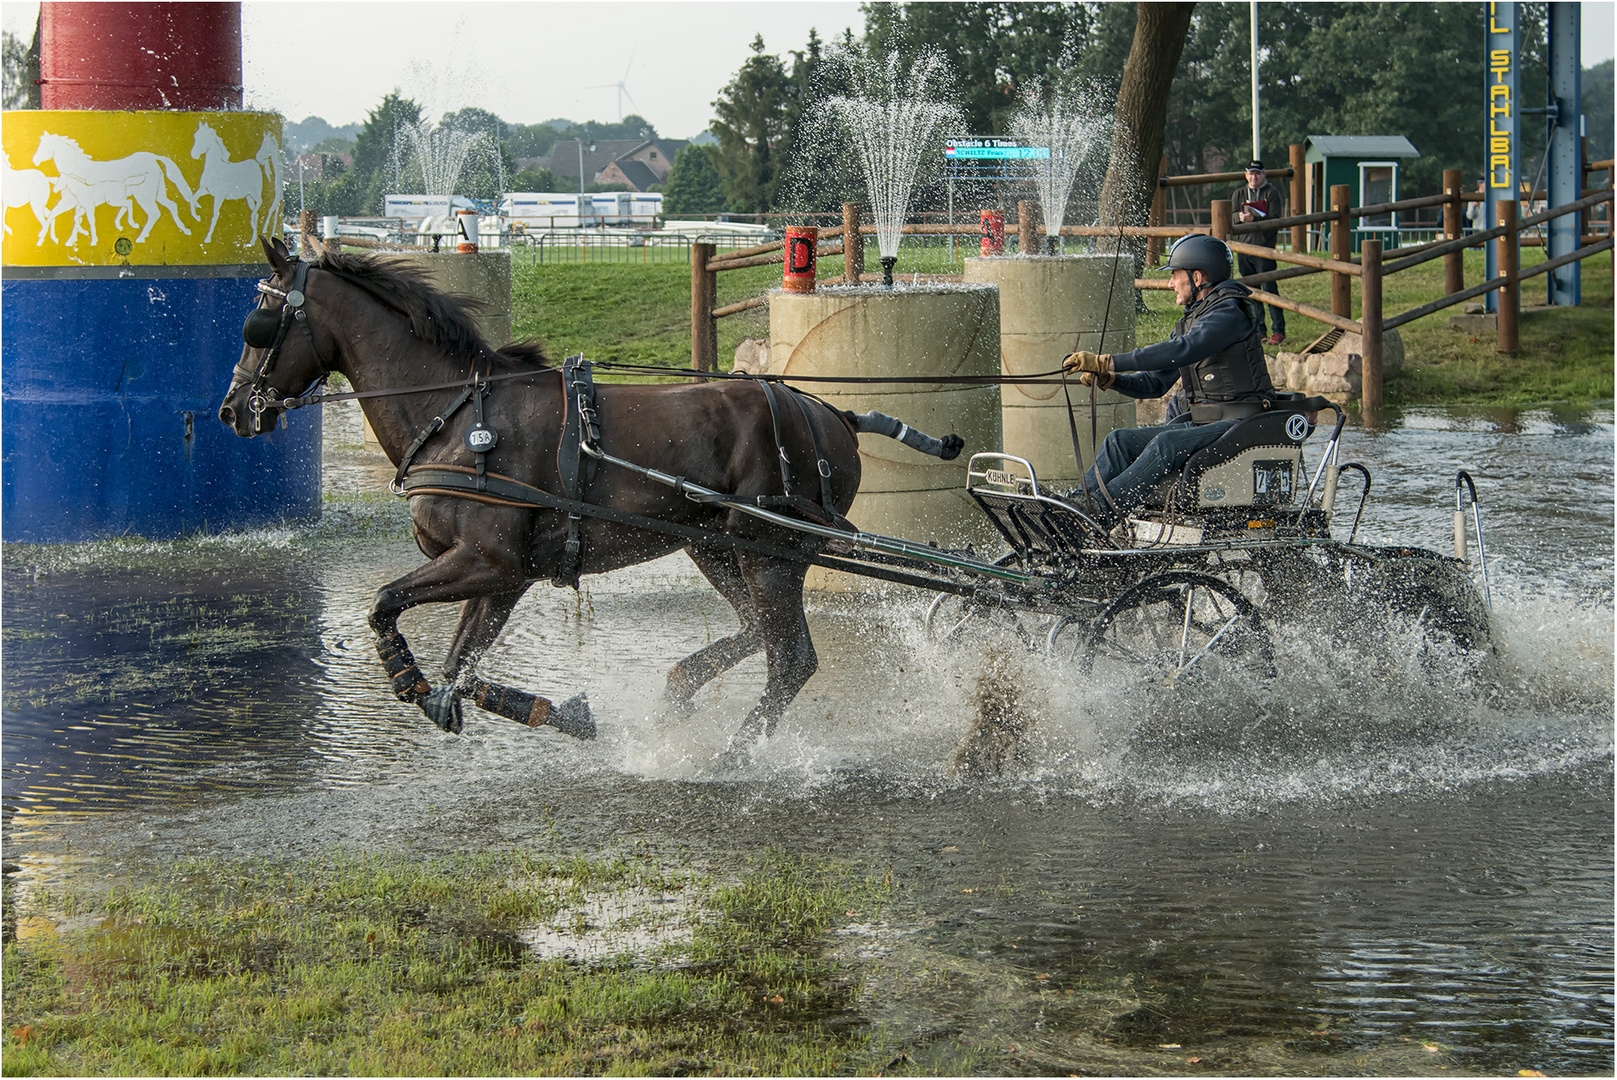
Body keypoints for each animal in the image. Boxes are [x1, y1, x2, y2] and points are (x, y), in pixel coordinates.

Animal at [223, 237, 873, 750]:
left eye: (260, 320)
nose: (233, 408)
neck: (456, 415)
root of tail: (833, 417)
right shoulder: (505, 576)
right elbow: (460, 669)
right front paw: (564, 714)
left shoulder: (486, 560)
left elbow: (386, 604)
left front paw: (405, 676)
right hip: (715, 547)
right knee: (759, 633)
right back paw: (678, 694)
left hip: (770, 555)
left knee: (791, 659)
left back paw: (733, 754)